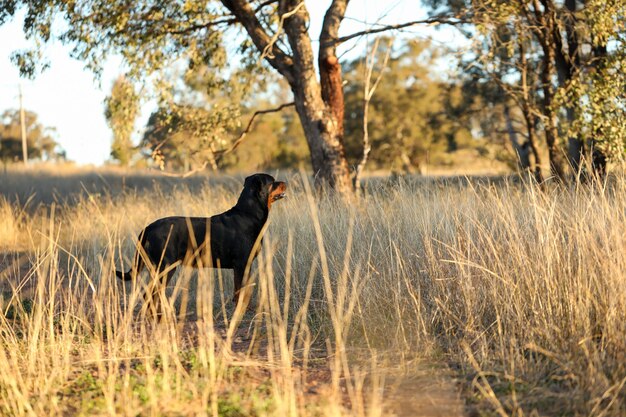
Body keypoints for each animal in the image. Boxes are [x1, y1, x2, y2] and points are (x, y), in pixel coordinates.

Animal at [116, 173, 286, 316]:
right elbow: (241, 291)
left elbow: (240, 290)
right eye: (272, 181)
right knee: (151, 293)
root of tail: (149, 227)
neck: (248, 213)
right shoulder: (242, 264)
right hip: (165, 267)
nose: (285, 182)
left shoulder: (243, 266)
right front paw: (242, 311)